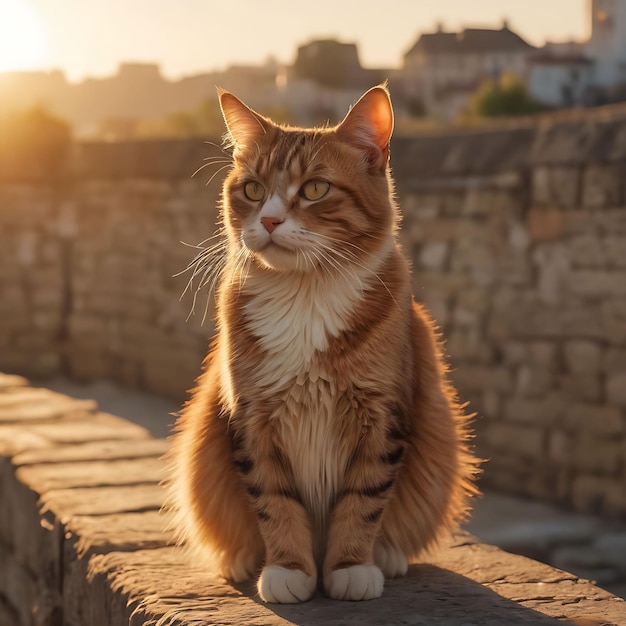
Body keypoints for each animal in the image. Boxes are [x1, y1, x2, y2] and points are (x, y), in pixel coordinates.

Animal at [167, 85, 478, 604]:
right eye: (253, 190)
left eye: (314, 189)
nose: (270, 221)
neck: (305, 294)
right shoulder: (252, 418)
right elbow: (275, 502)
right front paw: (288, 569)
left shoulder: (382, 415)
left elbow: (363, 501)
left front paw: (351, 567)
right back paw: (241, 559)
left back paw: (387, 557)